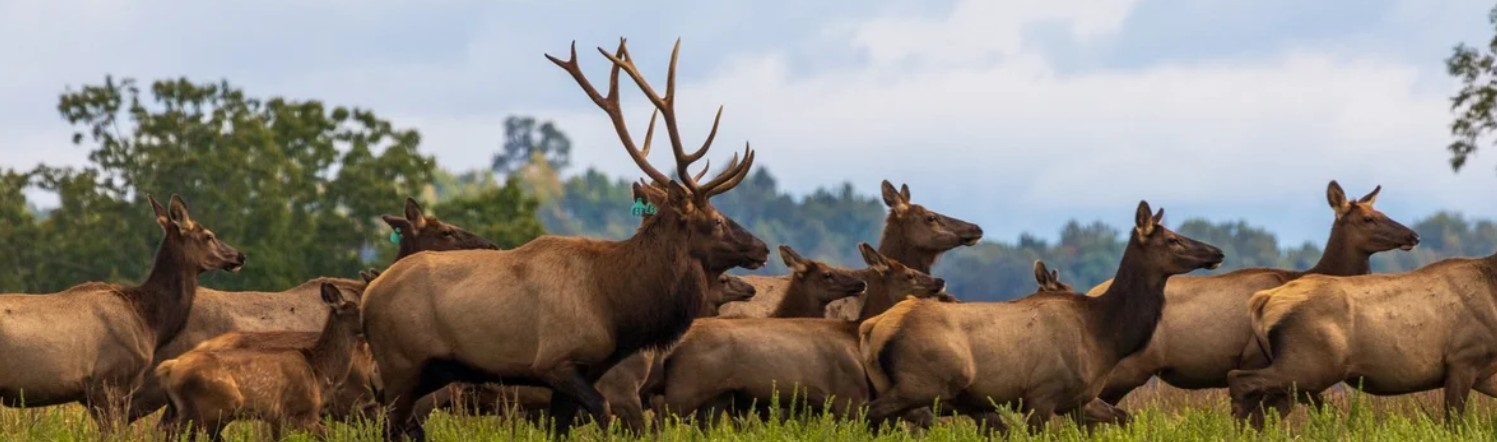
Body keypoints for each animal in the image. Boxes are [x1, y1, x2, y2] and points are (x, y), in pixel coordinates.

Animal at [156, 282, 364, 441]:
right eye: (360, 310)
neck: (318, 369)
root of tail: (169, 368)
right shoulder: (300, 411)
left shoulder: (277, 417)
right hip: (213, 405)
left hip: (182, 410)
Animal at [361, 38, 769, 440]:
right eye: (716, 220)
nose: (761, 248)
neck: (616, 305)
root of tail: (367, 297)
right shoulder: (555, 361)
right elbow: (603, 411)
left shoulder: (581, 371)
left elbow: (560, 427)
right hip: (401, 365)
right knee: (391, 424)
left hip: (430, 372)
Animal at [859, 201, 1223, 432]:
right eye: (1173, 240)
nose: (1216, 251)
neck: (1104, 335)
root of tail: (872, 328)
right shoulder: (1043, 394)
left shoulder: (1078, 401)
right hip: (921, 384)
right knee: (866, 414)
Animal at [1082, 182, 1418, 418]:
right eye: (1368, 219)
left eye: (1382, 213)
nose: (1412, 235)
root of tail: (1091, 294)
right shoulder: (1260, 358)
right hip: (1128, 368)